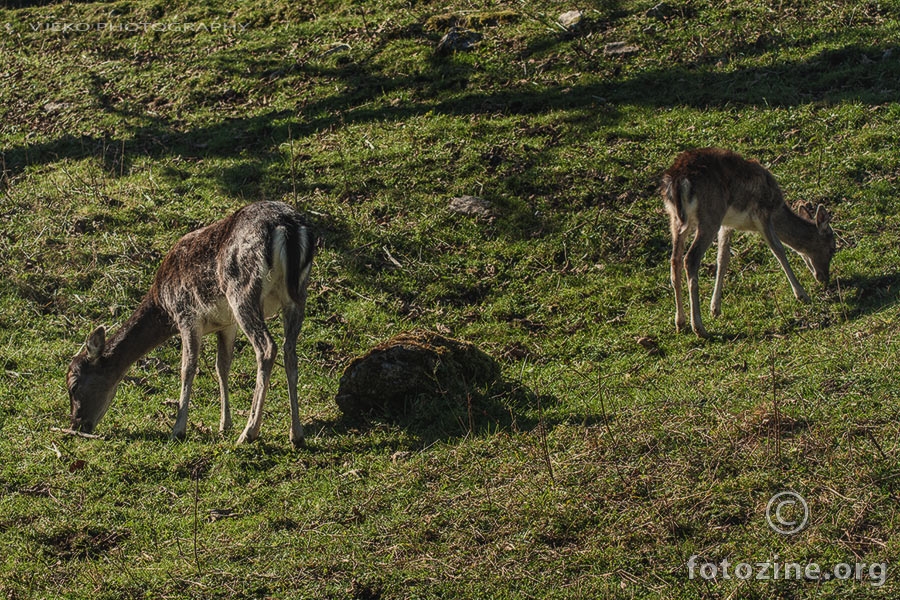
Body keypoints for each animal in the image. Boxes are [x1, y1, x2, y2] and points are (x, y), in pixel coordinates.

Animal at [67, 202, 314, 446]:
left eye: (73, 385)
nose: (76, 424)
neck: (163, 304)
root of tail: (288, 228)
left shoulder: (186, 314)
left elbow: (187, 367)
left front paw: (178, 429)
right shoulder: (226, 323)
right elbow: (222, 367)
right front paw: (224, 425)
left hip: (242, 291)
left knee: (267, 348)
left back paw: (249, 432)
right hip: (297, 294)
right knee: (289, 351)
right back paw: (296, 433)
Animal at [660, 147, 836, 338]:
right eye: (832, 249)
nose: (824, 278)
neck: (777, 210)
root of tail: (678, 181)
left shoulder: (727, 224)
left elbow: (723, 259)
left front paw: (715, 309)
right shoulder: (762, 213)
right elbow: (778, 250)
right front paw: (802, 295)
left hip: (675, 219)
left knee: (675, 260)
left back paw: (680, 322)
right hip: (710, 214)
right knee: (690, 259)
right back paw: (699, 328)